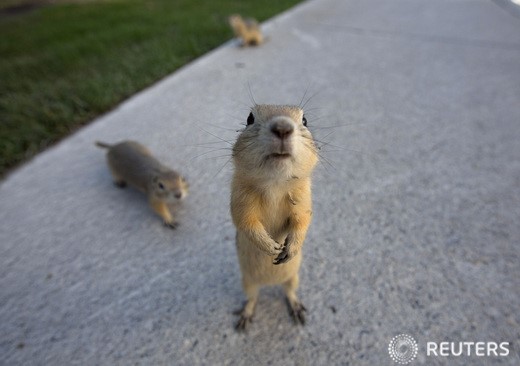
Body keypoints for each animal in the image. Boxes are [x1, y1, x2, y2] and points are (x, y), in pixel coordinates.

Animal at [231, 104, 318, 330]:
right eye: (249, 118)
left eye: (305, 120)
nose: (282, 128)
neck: (274, 184)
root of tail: (269, 284)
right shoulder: (240, 200)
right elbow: (246, 222)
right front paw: (271, 247)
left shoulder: (303, 199)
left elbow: (302, 220)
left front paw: (290, 248)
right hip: (248, 282)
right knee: (252, 298)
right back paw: (245, 316)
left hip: (293, 278)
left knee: (289, 292)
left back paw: (297, 309)